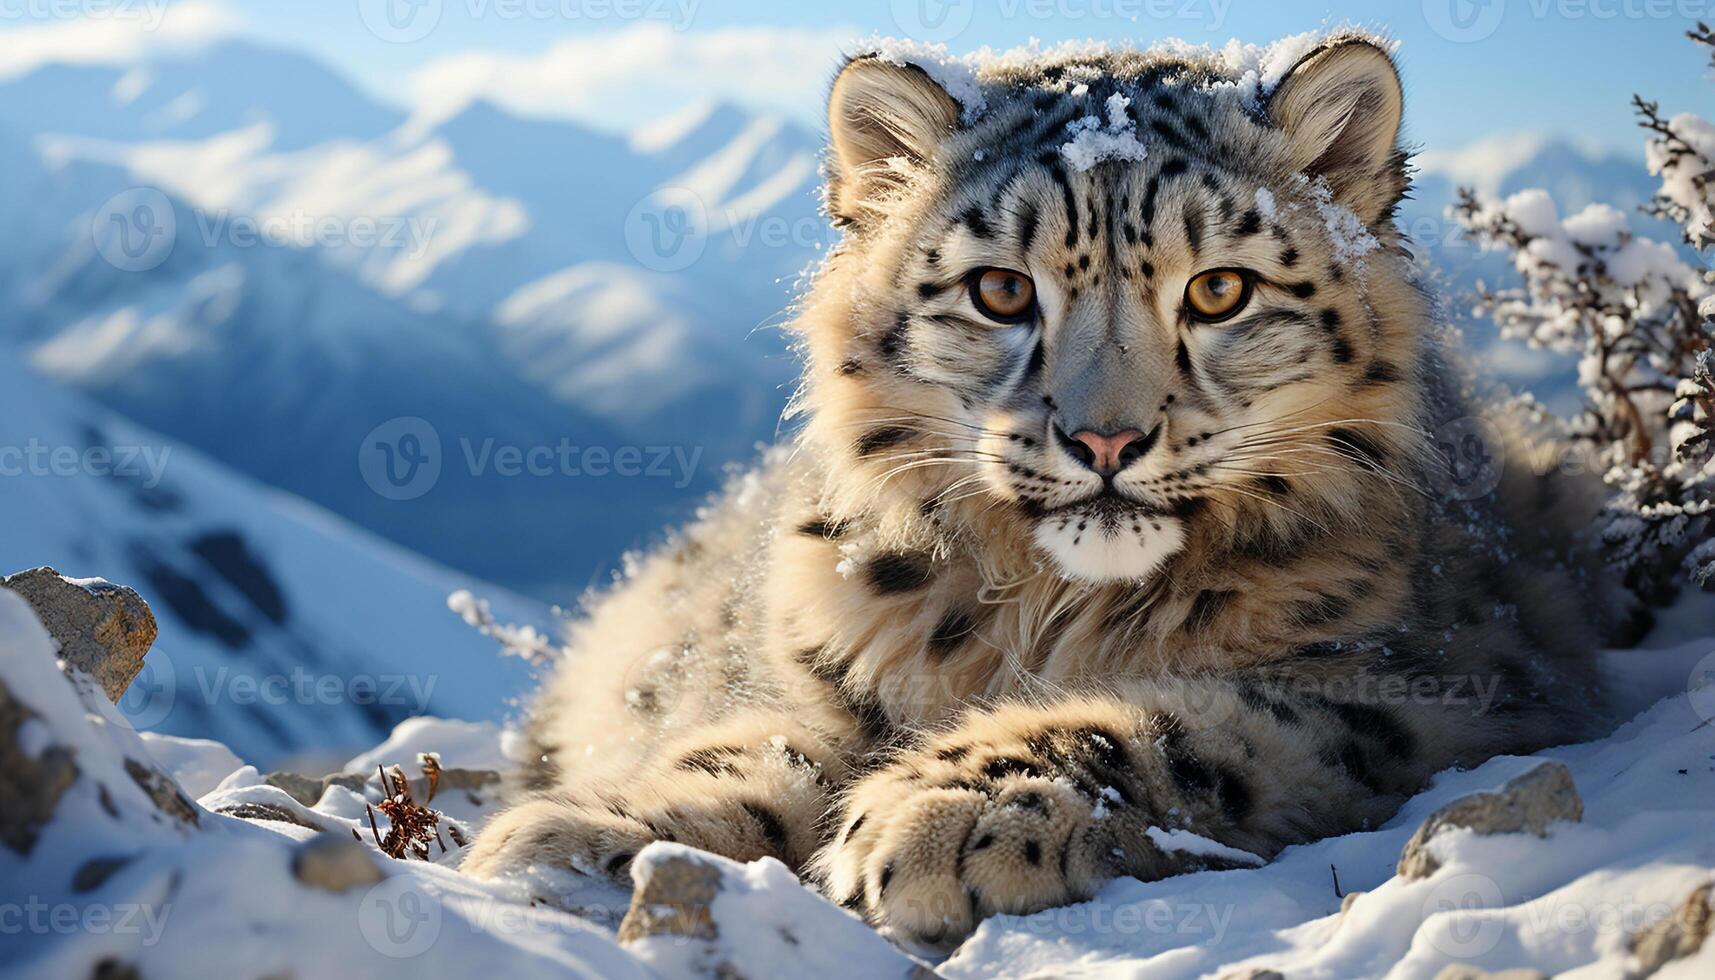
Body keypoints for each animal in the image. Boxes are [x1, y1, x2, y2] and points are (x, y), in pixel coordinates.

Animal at [463, 34, 1625, 947]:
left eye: (1219, 288)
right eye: (998, 289)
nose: (1105, 436)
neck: (1047, 613)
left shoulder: (1432, 679)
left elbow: (1197, 721)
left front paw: (944, 812)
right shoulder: (818, 671)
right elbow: (759, 742)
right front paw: (585, 835)